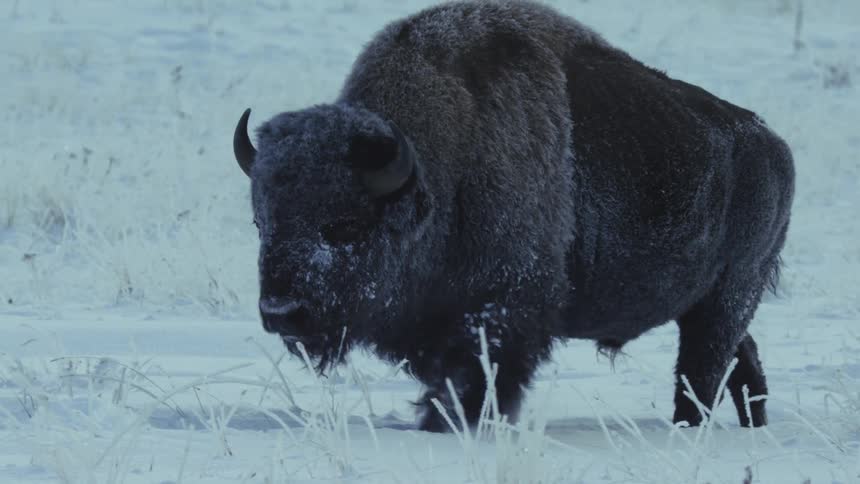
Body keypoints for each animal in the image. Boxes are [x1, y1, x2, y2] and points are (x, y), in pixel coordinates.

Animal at [233, 0, 795, 432]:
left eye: (345, 225)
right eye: (263, 223)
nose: (281, 311)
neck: (440, 170)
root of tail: (773, 144)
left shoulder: (499, 315)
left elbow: (476, 381)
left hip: (729, 295)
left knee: (702, 371)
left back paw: (689, 427)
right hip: (709, 305)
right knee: (739, 361)